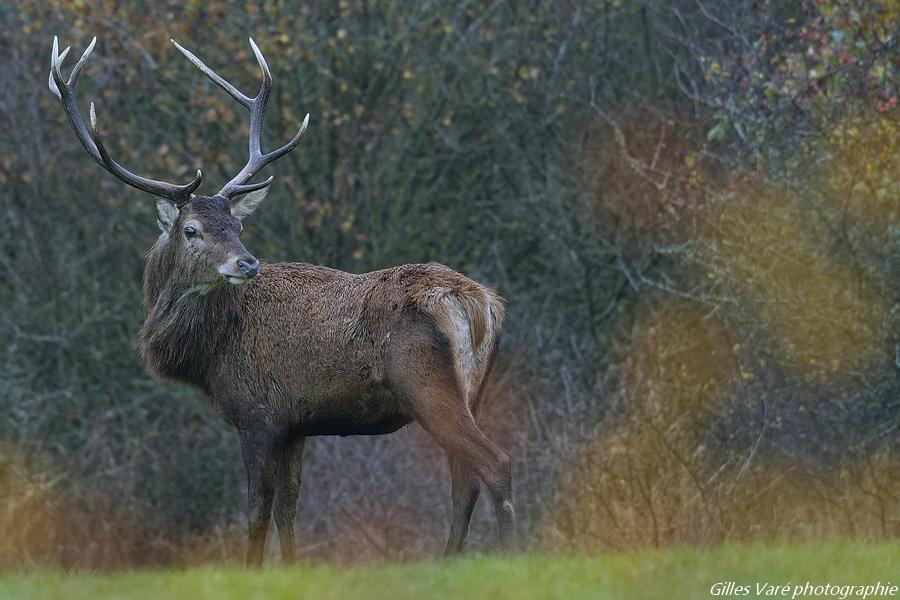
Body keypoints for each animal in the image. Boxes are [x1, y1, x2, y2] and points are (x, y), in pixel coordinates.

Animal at [45, 36, 516, 564]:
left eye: (238, 225)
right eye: (193, 230)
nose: (246, 263)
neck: (210, 355)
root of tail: (479, 304)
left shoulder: (258, 415)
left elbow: (256, 510)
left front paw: (251, 569)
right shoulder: (297, 423)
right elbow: (287, 509)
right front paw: (291, 568)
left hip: (425, 384)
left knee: (494, 464)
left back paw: (509, 553)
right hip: (476, 389)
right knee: (464, 480)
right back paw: (451, 558)